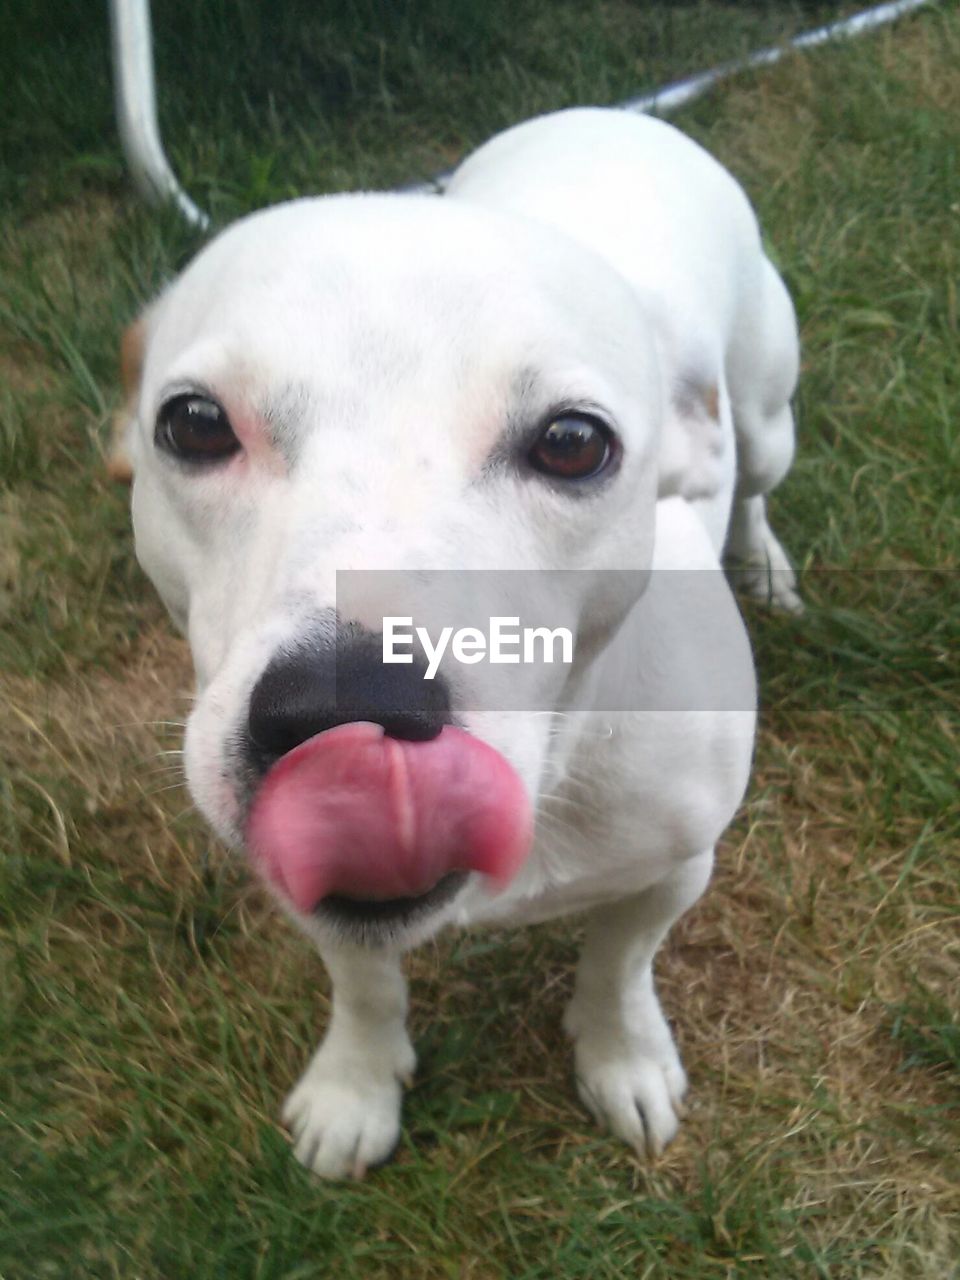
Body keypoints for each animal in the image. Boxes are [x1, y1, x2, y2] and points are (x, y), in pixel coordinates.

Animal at [120, 110, 803, 1177]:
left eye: (574, 441)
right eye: (193, 423)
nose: (347, 705)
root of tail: (611, 114)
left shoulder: (677, 867)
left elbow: (621, 962)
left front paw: (621, 1056)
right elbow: (362, 979)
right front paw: (356, 1085)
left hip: (769, 419)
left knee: (762, 476)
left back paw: (765, 561)